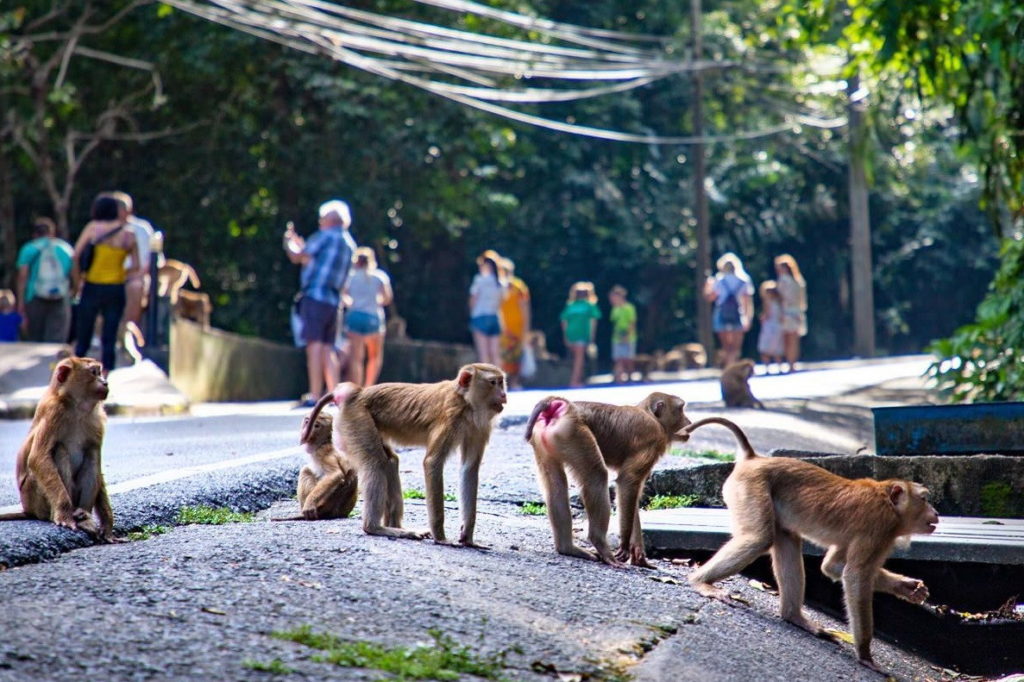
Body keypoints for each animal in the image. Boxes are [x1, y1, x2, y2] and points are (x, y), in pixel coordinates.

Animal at [0, 356, 118, 540]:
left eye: (100, 372)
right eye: (94, 372)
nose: (105, 382)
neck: (76, 407)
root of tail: (28, 510)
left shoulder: (97, 420)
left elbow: (96, 458)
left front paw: (107, 523)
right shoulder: (53, 413)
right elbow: (38, 457)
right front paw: (64, 514)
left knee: (91, 454)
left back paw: (83, 515)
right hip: (35, 497)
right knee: (59, 450)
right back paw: (68, 514)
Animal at [305, 364, 509, 544]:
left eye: (501, 382)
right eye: (493, 382)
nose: (504, 394)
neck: (465, 402)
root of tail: (357, 393)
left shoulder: (479, 427)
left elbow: (469, 469)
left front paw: (468, 537)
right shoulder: (450, 418)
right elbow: (432, 463)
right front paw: (440, 538)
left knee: (389, 461)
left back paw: (396, 527)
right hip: (357, 418)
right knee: (375, 464)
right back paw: (375, 528)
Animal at [524, 391, 692, 565]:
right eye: (681, 409)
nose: (689, 422)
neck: (650, 415)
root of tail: (562, 404)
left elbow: (629, 494)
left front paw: (638, 554)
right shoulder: (653, 439)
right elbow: (628, 481)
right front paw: (624, 546)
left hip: (546, 439)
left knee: (555, 485)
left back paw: (568, 548)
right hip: (573, 433)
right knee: (596, 476)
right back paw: (600, 545)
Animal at [684, 413, 937, 667]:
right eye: (924, 499)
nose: (935, 512)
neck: (890, 505)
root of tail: (754, 459)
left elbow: (833, 567)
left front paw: (907, 587)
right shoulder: (878, 528)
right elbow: (855, 575)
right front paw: (865, 653)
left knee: (786, 540)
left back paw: (794, 617)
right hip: (750, 487)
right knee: (759, 538)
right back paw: (700, 582)